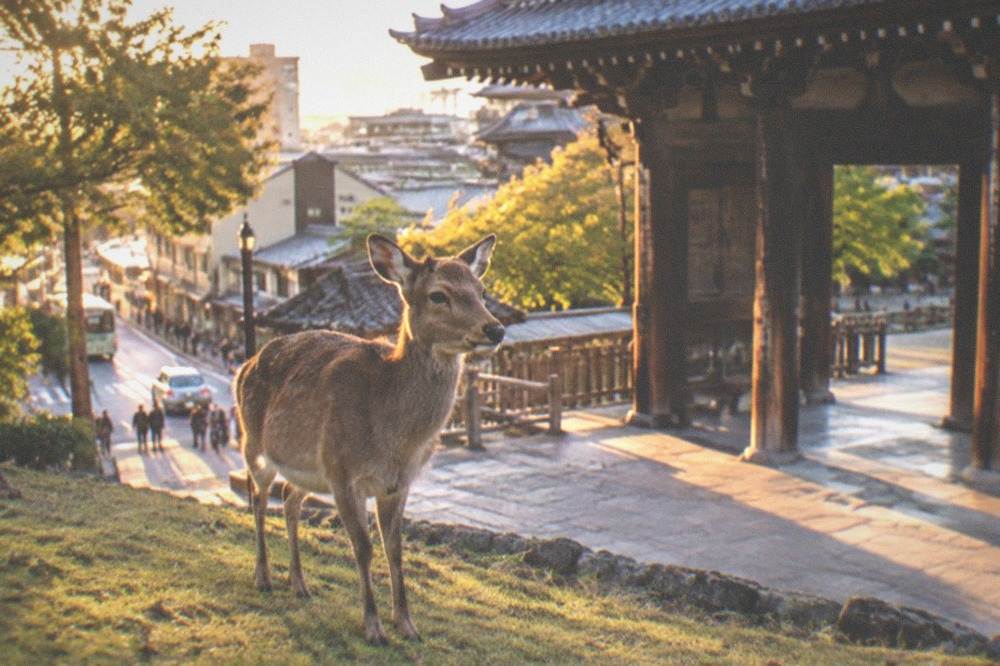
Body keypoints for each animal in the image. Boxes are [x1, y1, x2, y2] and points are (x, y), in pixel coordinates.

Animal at [234, 233, 504, 645]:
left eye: (481, 290)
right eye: (438, 295)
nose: (495, 330)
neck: (393, 440)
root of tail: (245, 364)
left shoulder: (398, 483)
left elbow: (395, 549)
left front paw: (407, 625)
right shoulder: (344, 473)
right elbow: (363, 548)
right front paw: (374, 628)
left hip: (308, 469)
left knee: (289, 499)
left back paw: (300, 584)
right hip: (253, 444)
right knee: (259, 499)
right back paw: (263, 577)